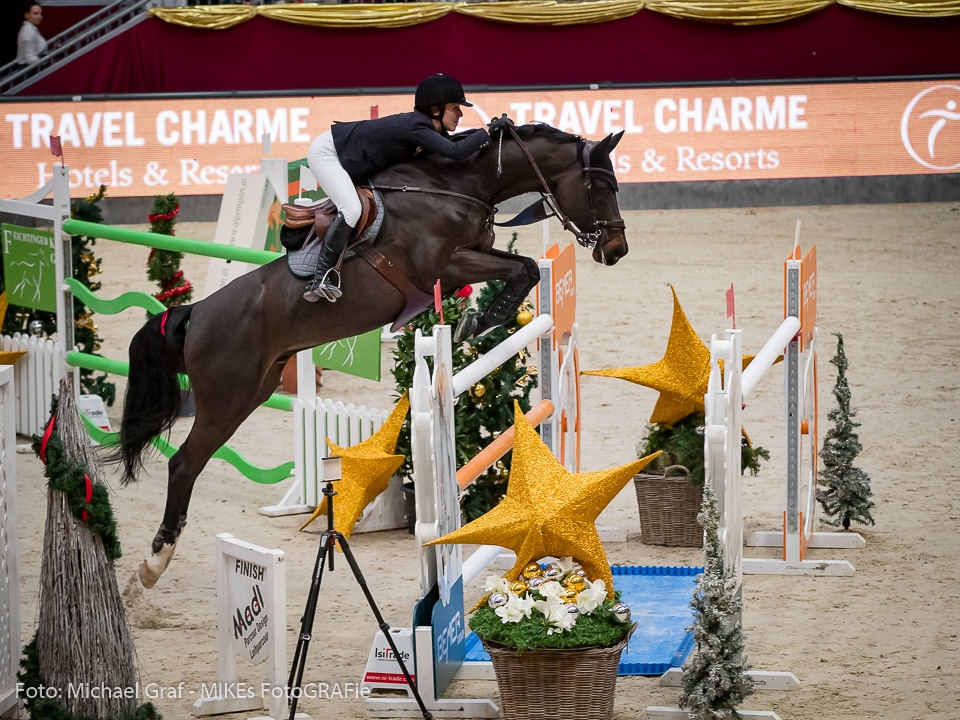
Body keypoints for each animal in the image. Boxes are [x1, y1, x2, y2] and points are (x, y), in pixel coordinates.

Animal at [111, 123, 629, 588]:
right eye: (601, 186)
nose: (617, 249)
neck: (457, 186)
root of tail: (196, 313)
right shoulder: (444, 265)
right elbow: (523, 270)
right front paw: (479, 321)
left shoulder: (473, 256)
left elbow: (525, 269)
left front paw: (482, 318)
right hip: (227, 399)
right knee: (184, 464)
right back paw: (153, 564)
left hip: (255, 389)